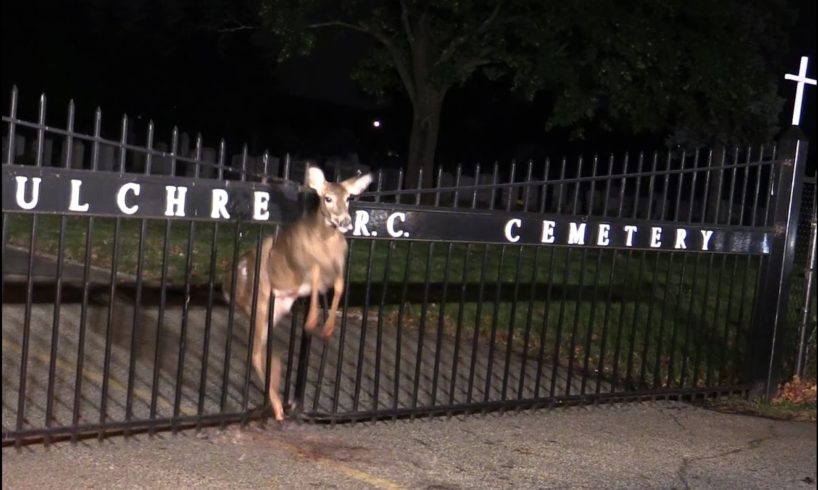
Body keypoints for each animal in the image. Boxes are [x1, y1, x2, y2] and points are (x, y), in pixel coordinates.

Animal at [225, 167, 374, 424]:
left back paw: (276, 397)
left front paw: (327, 329)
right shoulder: (305, 266)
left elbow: (339, 287)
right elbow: (314, 280)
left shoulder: (337, 270)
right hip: (259, 303)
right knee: (255, 353)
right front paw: (313, 322)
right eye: (327, 198)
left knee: (267, 354)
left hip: (275, 310)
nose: (345, 221)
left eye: (348, 198)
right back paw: (277, 407)